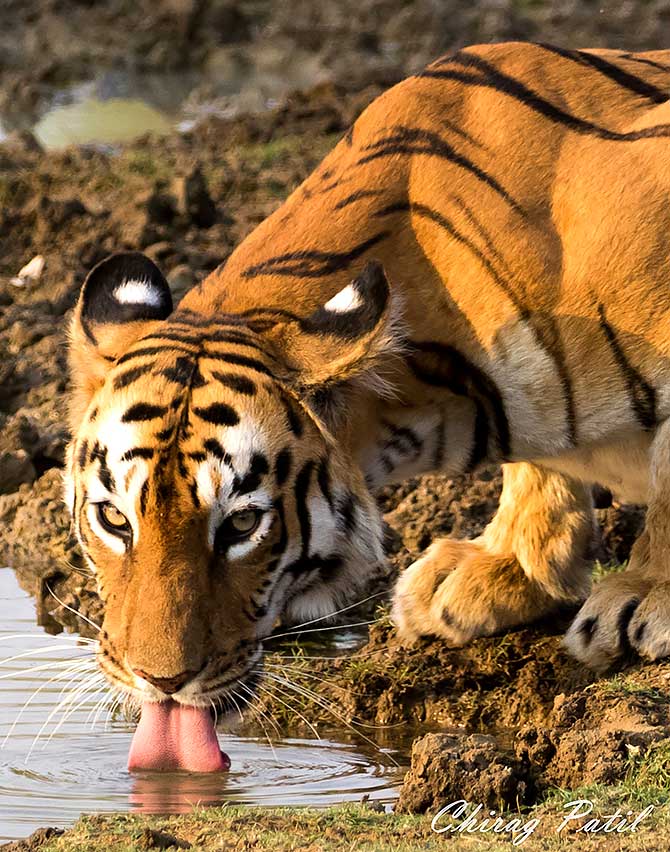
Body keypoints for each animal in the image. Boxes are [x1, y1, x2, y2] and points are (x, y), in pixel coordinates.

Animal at [65, 40, 670, 768]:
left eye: (242, 525)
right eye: (113, 519)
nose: (159, 681)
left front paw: (645, 597)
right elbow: (541, 468)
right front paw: (500, 572)